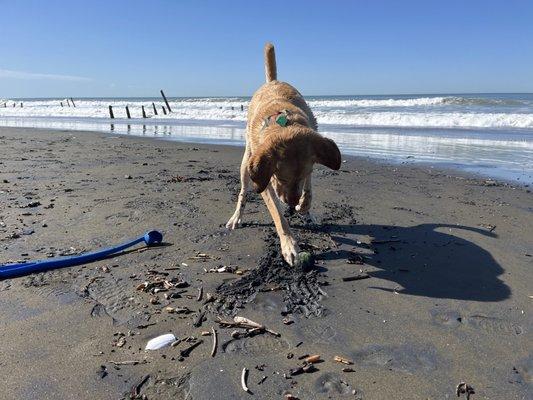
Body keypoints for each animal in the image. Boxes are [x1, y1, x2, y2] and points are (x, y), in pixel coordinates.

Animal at [225, 43, 340, 266]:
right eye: (281, 178)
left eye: (302, 176)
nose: (292, 204)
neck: (284, 124)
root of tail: (273, 82)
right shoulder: (263, 180)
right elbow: (278, 215)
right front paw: (289, 244)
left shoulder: (310, 162)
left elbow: (309, 190)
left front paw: (304, 207)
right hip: (246, 165)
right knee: (243, 192)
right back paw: (236, 216)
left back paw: (308, 214)